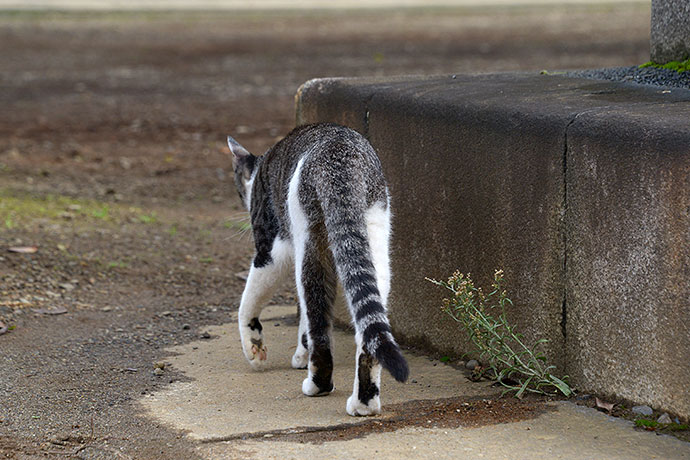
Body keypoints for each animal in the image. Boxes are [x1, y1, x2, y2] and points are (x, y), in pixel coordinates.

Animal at [226, 122, 408, 416]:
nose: (242, 199)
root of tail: (339, 157)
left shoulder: (273, 248)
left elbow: (249, 303)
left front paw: (254, 349)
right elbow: (304, 326)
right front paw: (301, 354)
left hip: (309, 241)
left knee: (317, 311)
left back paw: (317, 385)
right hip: (374, 236)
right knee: (368, 322)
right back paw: (364, 403)